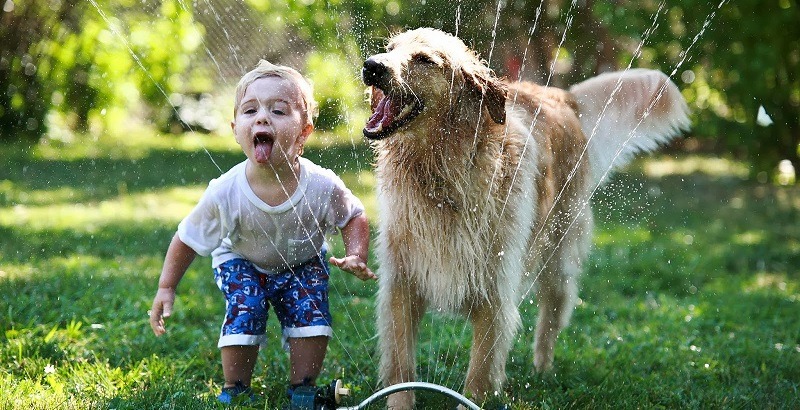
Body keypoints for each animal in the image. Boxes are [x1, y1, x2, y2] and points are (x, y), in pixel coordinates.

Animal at [360, 28, 688, 406]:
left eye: (425, 60)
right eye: (389, 49)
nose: (371, 65)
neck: (442, 173)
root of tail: (561, 95)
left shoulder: (495, 290)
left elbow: (479, 376)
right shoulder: (401, 284)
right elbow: (402, 366)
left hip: (560, 254)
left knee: (551, 319)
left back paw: (542, 370)